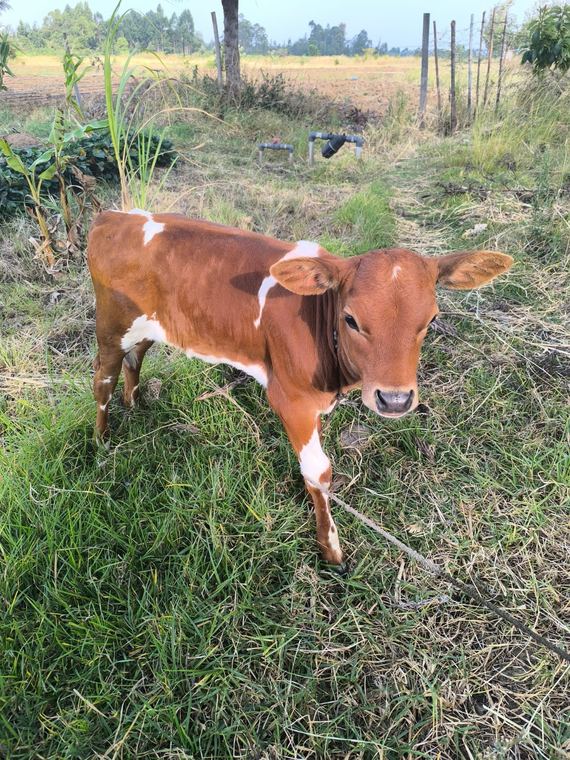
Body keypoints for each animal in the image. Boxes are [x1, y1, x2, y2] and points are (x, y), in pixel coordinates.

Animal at [87, 209, 513, 565]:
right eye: (351, 319)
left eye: (431, 319)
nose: (394, 399)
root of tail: (114, 216)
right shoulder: (291, 399)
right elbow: (318, 472)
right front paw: (331, 548)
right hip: (110, 326)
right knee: (102, 379)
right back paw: (103, 442)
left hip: (147, 326)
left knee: (135, 358)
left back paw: (135, 404)